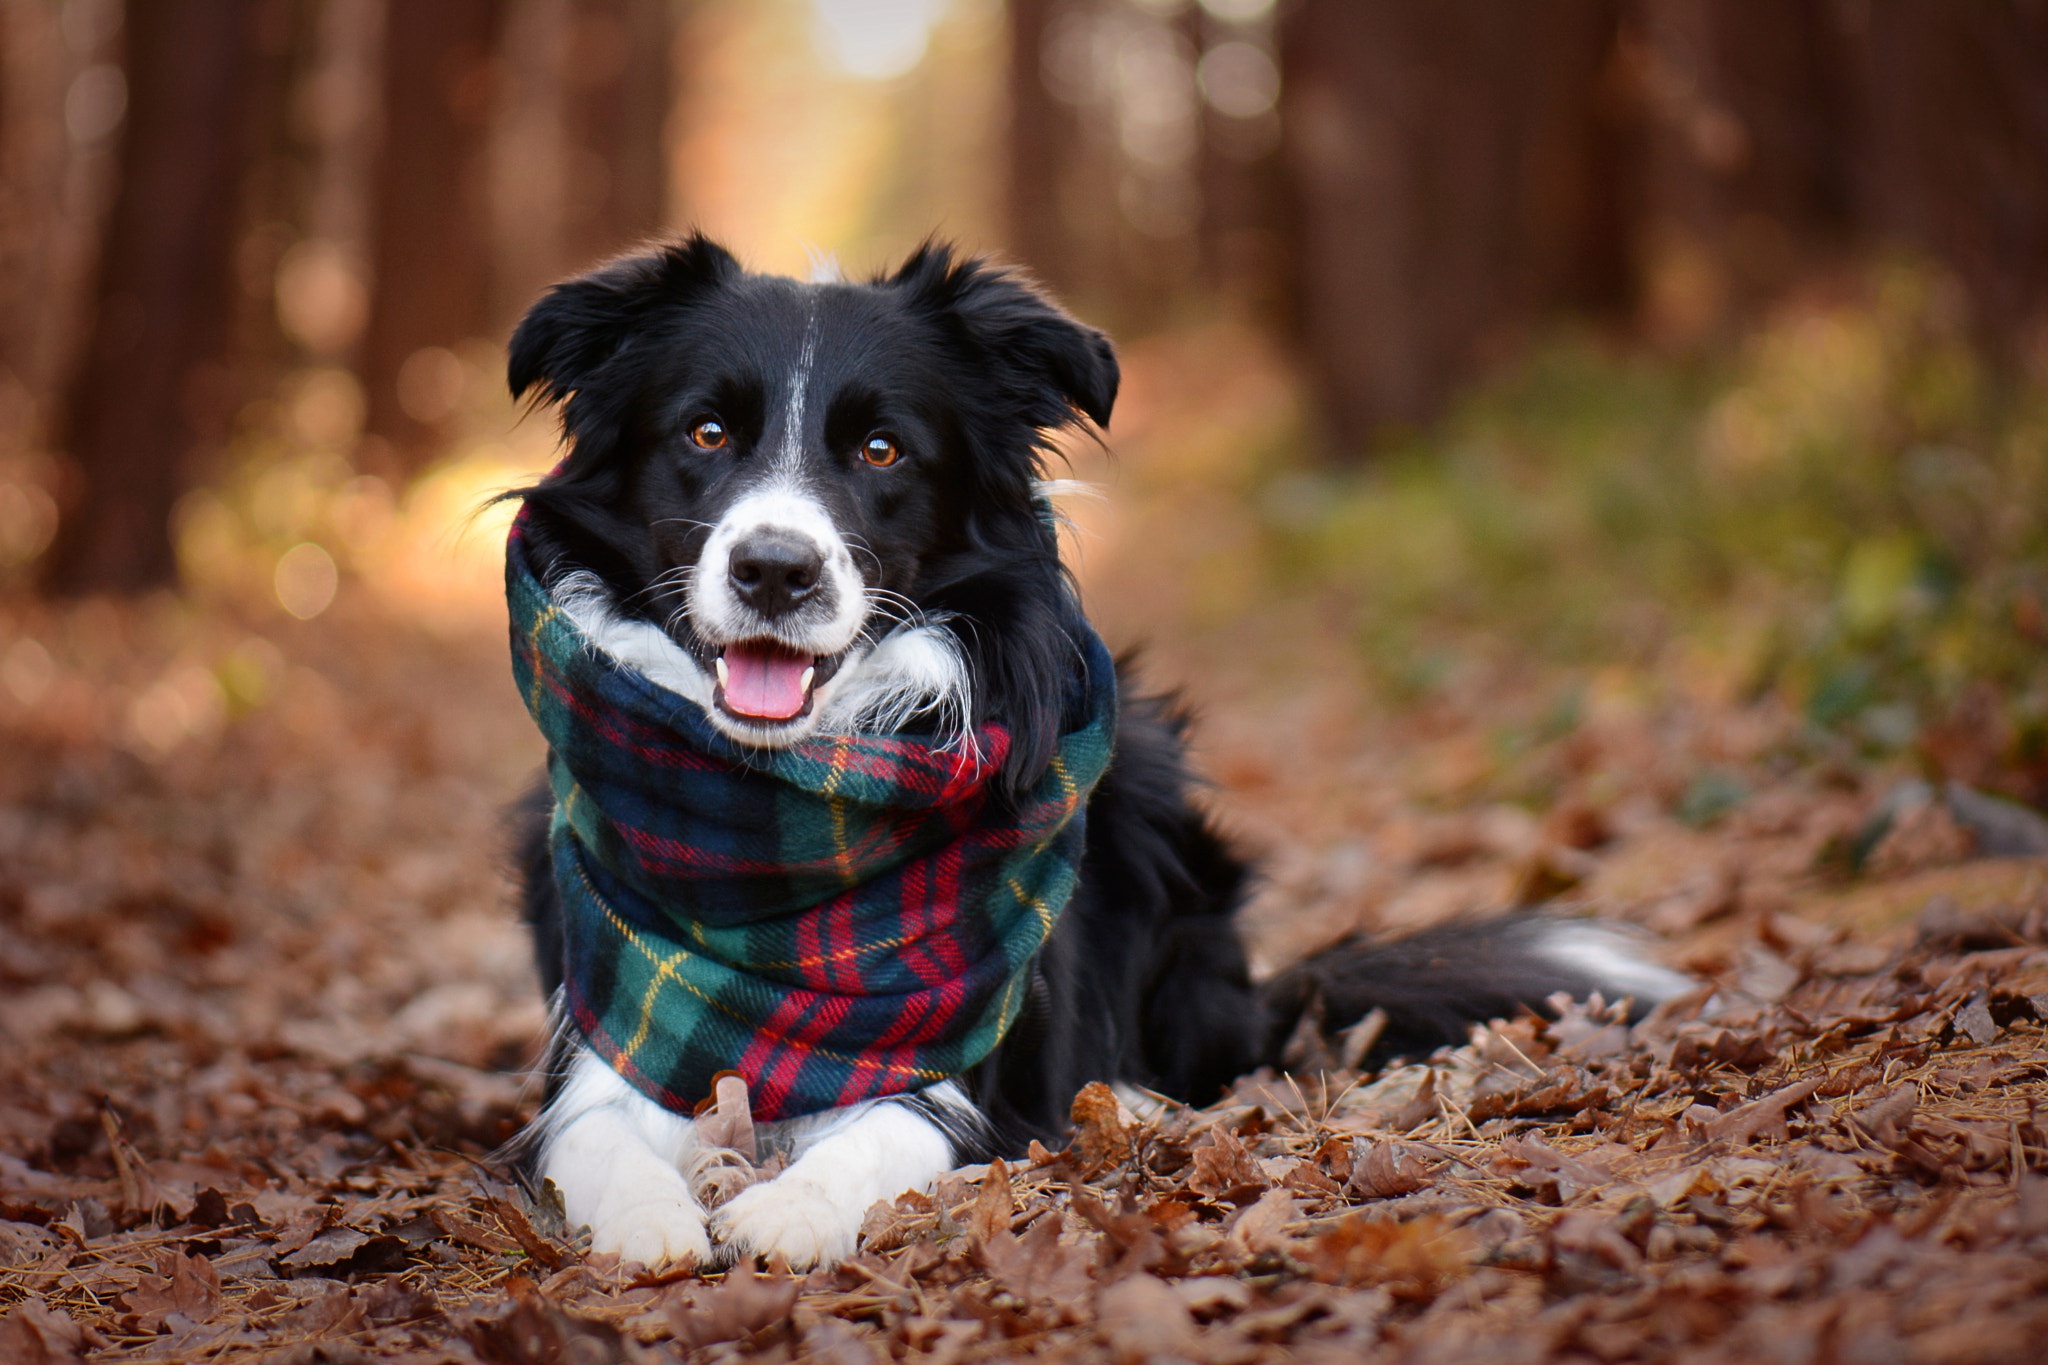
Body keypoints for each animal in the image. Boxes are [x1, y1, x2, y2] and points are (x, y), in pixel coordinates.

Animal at [503, 235, 1687, 1268]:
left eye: (882, 449)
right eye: (705, 434)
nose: (775, 570)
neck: (783, 813)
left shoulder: (977, 1064)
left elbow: (900, 1123)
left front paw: (792, 1210)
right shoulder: (602, 1029)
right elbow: (590, 1136)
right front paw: (649, 1222)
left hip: (1156, 803)